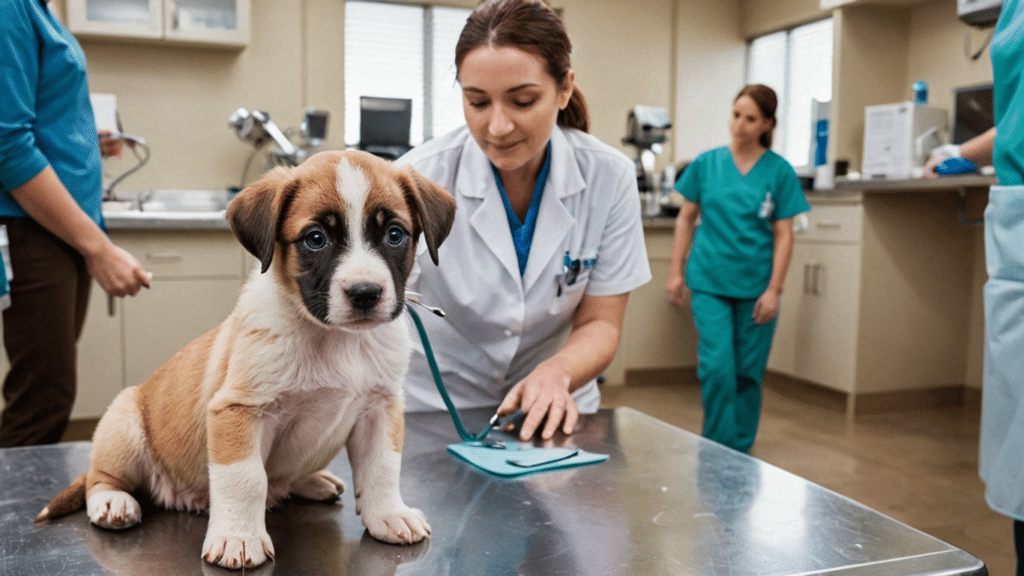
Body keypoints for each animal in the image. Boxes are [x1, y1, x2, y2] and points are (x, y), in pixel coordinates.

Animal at [34, 150, 456, 565]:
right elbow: (246, 478)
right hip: (123, 425)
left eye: (395, 234)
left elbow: (382, 466)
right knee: (99, 476)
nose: (365, 293)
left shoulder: (379, 408)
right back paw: (112, 502)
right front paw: (238, 537)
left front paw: (388, 514)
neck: (336, 340)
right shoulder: (239, 410)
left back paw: (312, 481)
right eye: (315, 239)